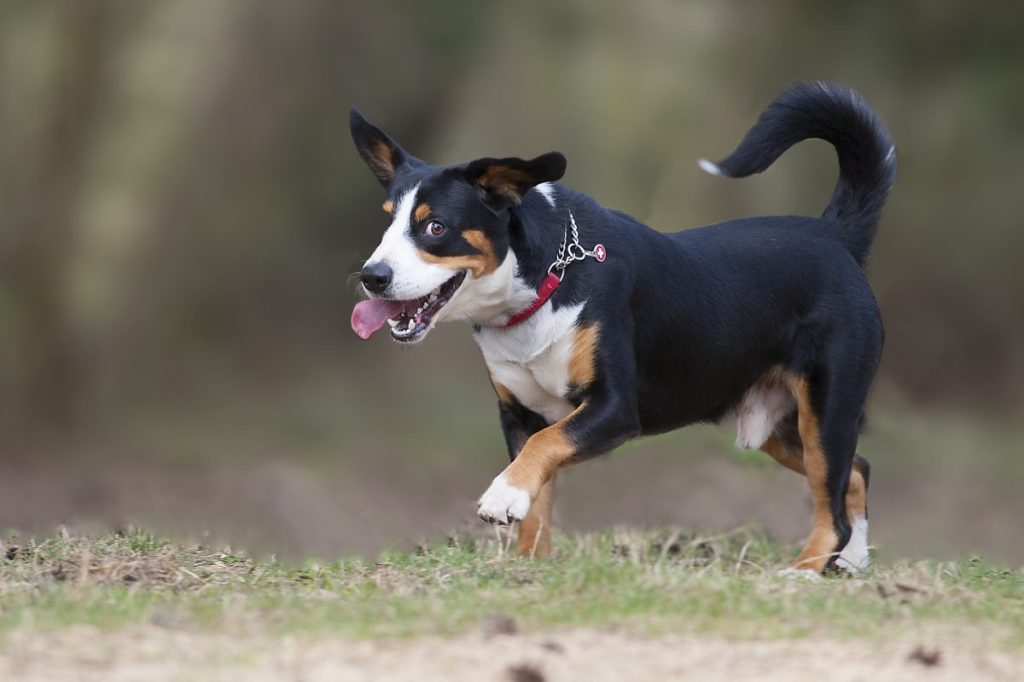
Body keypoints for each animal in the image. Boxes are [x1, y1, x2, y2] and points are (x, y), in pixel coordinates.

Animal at [352, 82, 897, 569]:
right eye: (387, 224)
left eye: (435, 226)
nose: (372, 277)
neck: (541, 289)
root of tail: (834, 236)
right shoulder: (520, 414)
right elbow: (538, 499)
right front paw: (530, 564)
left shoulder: (613, 408)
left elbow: (544, 448)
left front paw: (503, 496)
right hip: (781, 427)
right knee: (857, 471)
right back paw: (852, 562)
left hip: (825, 406)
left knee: (834, 504)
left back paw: (804, 570)